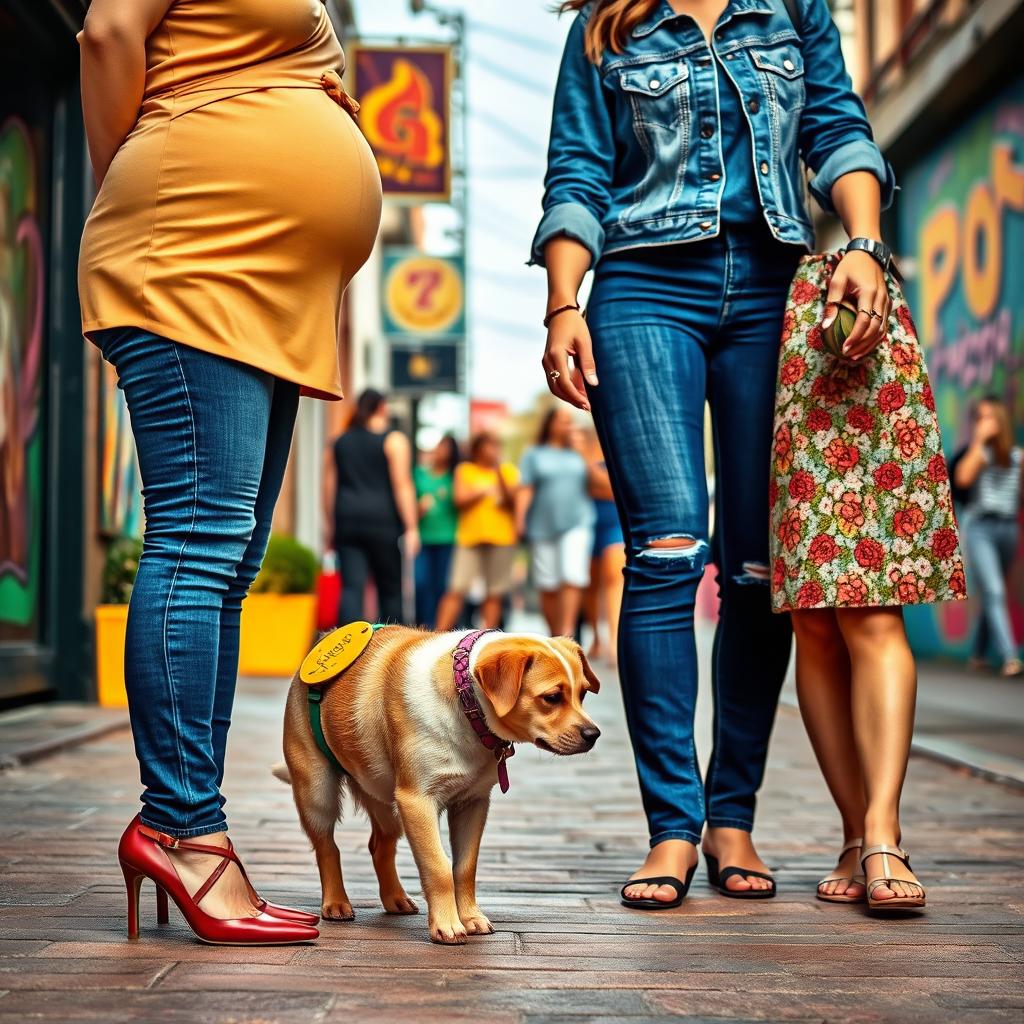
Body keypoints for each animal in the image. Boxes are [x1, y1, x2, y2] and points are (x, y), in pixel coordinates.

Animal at [276, 622, 602, 942]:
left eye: (583, 694)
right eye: (552, 697)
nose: (593, 734)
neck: (465, 700)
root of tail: (324, 637)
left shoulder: (472, 803)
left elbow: (465, 867)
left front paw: (470, 917)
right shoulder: (417, 802)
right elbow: (438, 867)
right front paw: (447, 924)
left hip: (384, 799)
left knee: (380, 846)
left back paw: (395, 898)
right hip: (318, 792)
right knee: (327, 847)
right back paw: (336, 902)